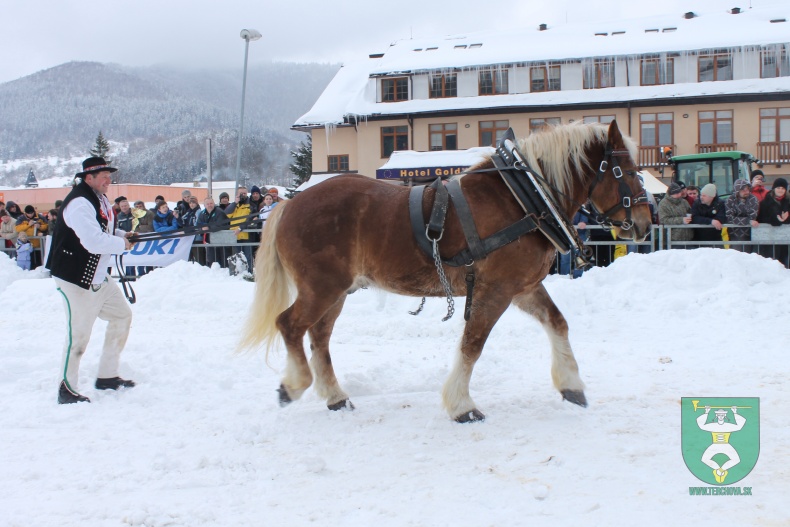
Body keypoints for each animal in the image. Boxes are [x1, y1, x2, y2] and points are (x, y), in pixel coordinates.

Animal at [238, 121, 652, 422]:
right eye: (628, 171)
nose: (646, 223)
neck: (525, 197)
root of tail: (289, 205)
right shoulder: (495, 290)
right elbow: (472, 345)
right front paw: (461, 405)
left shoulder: (522, 288)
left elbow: (558, 322)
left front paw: (572, 386)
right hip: (321, 286)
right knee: (290, 325)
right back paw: (295, 384)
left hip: (337, 291)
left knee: (319, 336)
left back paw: (335, 396)